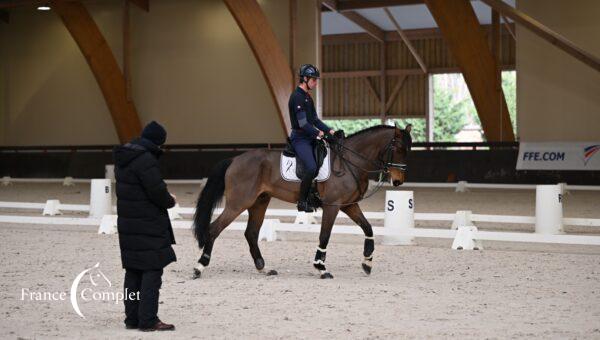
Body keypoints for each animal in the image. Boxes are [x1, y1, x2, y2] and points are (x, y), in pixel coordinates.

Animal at [192, 125, 412, 278]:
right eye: (399, 148)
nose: (398, 181)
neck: (350, 162)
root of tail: (235, 160)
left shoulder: (349, 205)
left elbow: (368, 228)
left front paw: (367, 262)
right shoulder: (332, 206)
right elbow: (325, 236)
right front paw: (321, 268)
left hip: (259, 202)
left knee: (251, 233)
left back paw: (263, 268)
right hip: (239, 203)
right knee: (214, 229)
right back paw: (199, 267)